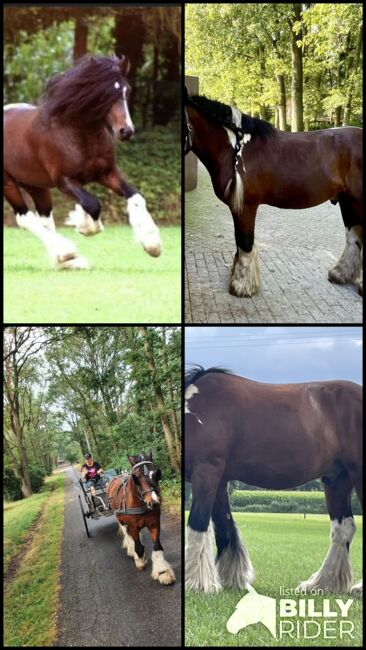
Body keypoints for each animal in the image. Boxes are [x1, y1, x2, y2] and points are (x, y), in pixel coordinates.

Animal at [3, 53, 162, 268]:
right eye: (103, 94)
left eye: (126, 91)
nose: (126, 131)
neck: (79, 136)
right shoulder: (65, 181)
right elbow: (92, 204)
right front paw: (82, 223)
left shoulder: (108, 173)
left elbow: (136, 197)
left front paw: (152, 244)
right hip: (9, 183)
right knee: (24, 218)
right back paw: (66, 252)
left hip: (35, 184)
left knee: (44, 218)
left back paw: (66, 261)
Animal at [106, 450, 175, 584]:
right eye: (136, 478)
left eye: (156, 474)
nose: (154, 502)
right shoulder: (132, 526)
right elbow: (137, 545)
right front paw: (140, 561)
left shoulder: (154, 524)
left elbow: (157, 547)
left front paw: (162, 572)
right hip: (120, 518)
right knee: (126, 533)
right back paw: (131, 550)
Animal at [184, 89, 362, 296]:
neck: (236, 150)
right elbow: (239, 242)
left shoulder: (246, 207)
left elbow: (245, 242)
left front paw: (242, 285)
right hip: (347, 201)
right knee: (353, 237)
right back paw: (340, 274)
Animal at [186, 362, 364, 596]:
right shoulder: (220, 479)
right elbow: (223, 524)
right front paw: (232, 579)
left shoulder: (207, 470)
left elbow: (198, 522)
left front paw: (196, 584)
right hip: (337, 479)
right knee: (343, 529)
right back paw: (320, 583)